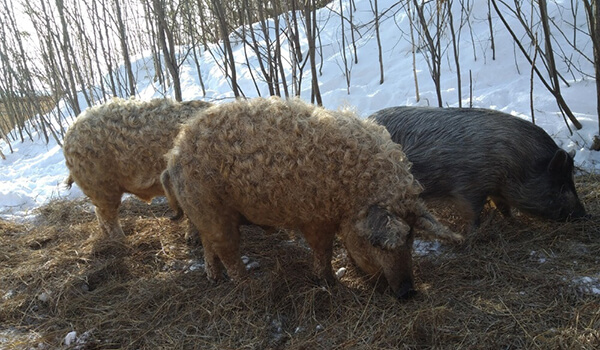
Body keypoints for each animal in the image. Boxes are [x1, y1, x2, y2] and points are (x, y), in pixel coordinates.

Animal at [368, 105, 588, 228]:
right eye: (560, 185)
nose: (585, 215)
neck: (513, 163)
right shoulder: (469, 186)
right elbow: (474, 212)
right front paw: (474, 233)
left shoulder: (495, 188)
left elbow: (504, 206)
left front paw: (514, 222)